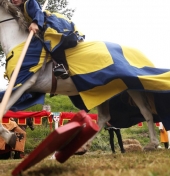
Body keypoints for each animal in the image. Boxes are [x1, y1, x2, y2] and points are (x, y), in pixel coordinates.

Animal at [0, 0, 170, 153]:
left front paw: (10, 137)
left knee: (146, 112)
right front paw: (10, 137)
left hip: (132, 86)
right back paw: (83, 147)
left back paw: (152, 144)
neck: (20, 43)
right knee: (104, 118)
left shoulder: (23, 84)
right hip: (103, 91)